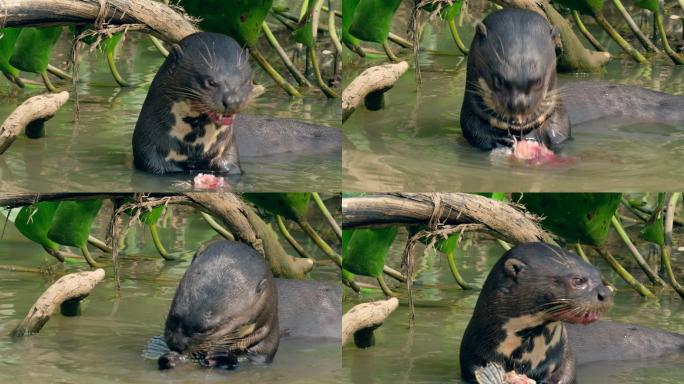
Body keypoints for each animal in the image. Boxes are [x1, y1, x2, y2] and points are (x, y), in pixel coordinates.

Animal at [132, 32, 340, 175]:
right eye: (211, 82)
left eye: (246, 81)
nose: (233, 100)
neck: (195, 149)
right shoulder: (151, 157)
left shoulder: (229, 156)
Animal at [460, 9, 684, 150]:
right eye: (498, 80)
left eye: (538, 81)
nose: (519, 105)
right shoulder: (470, 115)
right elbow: (474, 131)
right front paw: (497, 138)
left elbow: (560, 132)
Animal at [460, 244, 684, 382]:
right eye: (578, 280)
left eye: (599, 276)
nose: (605, 293)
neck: (525, 357)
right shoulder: (471, 357)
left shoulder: (567, 358)